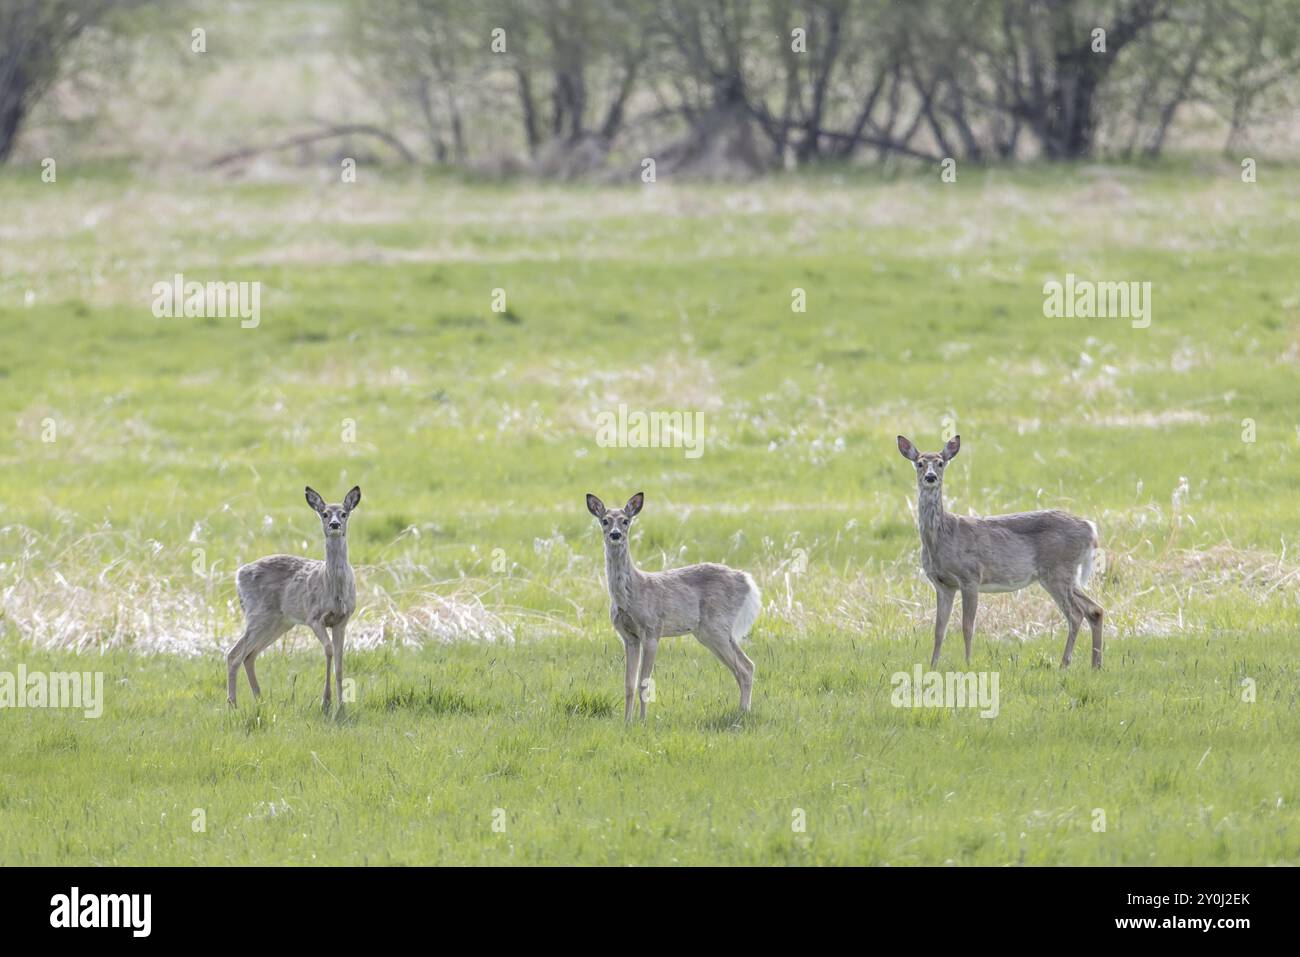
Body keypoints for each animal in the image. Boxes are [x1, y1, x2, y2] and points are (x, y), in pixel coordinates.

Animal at [226, 486, 361, 712]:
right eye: (325, 514)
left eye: (344, 513)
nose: (334, 525)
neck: (333, 588)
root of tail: (238, 574)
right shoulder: (314, 617)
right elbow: (328, 650)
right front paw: (326, 701)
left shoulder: (342, 619)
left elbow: (340, 663)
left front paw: (342, 705)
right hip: (258, 615)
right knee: (234, 654)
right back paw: (233, 704)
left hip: (279, 623)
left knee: (249, 655)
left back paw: (260, 700)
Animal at [582, 494, 759, 717]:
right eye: (604, 520)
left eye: (626, 520)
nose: (615, 534)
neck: (630, 595)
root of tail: (746, 580)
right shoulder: (628, 637)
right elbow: (628, 684)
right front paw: (627, 721)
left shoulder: (652, 630)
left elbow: (644, 682)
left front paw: (642, 720)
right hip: (707, 631)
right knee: (746, 666)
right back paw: (743, 711)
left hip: (716, 625)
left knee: (745, 668)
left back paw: (743, 712)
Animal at [899, 436, 1102, 670]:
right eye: (920, 463)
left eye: (941, 463)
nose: (930, 477)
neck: (942, 537)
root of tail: (1089, 528)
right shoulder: (943, 585)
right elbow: (939, 629)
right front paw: (932, 666)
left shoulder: (970, 577)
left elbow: (967, 627)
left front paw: (968, 664)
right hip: (1065, 575)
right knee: (1095, 610)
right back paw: (1096, 665)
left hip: (1058, 571)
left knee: (1076, 614)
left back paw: (1064, 665)